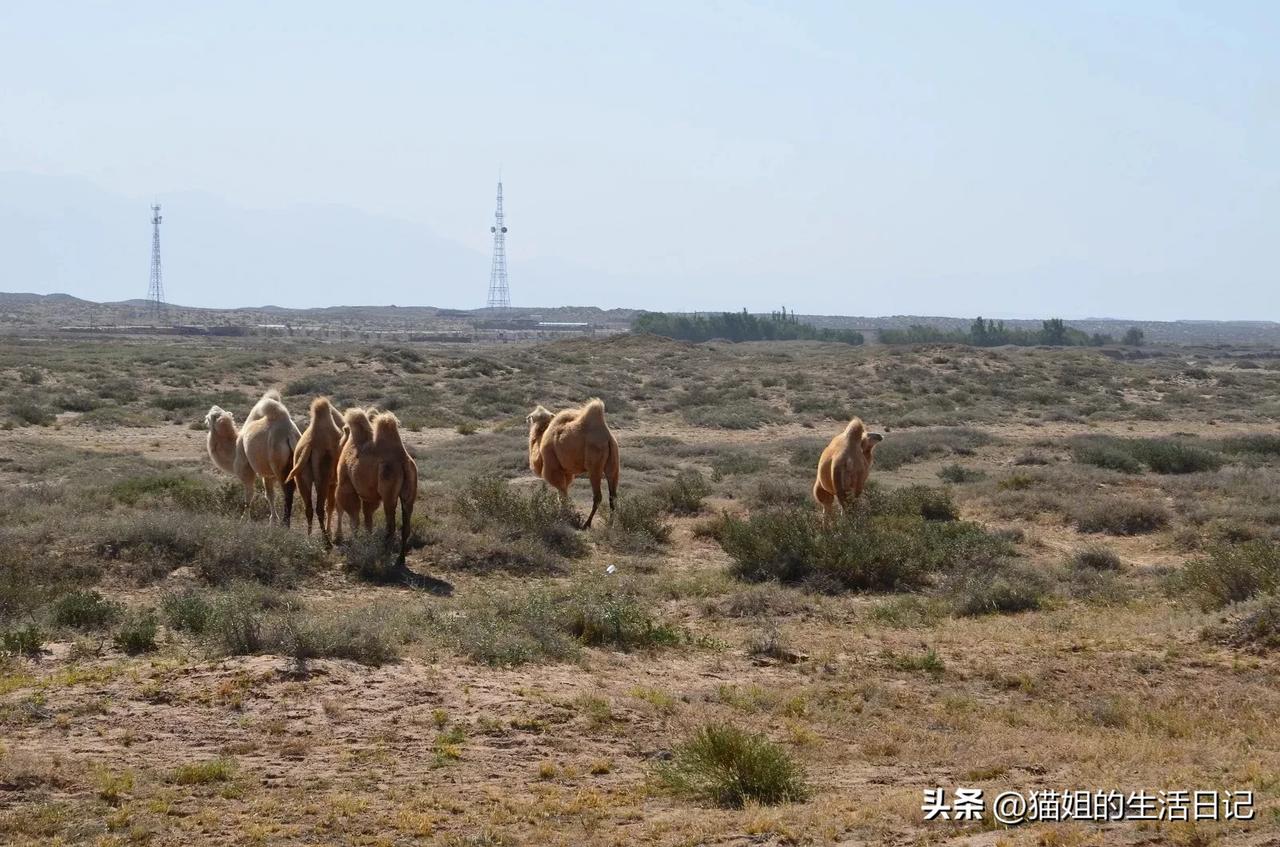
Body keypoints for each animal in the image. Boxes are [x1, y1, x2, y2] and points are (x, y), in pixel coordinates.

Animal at [206, 391, 303, 524]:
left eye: (210, 416)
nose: (213, 406)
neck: (234, 448)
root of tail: (289, 435)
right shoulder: (267, 474)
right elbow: (270, 495)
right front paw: (272, 520)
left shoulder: (246, 468)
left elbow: (249, 495)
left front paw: (244, 519)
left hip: (278, 463)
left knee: (288, 491)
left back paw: (285, 523)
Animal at [288, 399, 348, 545]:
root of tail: (309, 445)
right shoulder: (334, 482)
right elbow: (332, 506)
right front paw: (336, 535)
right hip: (323, 477)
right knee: (320, 508)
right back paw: (327, 542)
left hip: (300, 475)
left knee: (308, 508)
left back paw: (309, 539)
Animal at [335, 409, 419, 568]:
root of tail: (403, 461)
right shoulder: (370, 495)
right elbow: (368, 520)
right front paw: (367, 542)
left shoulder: (346, 485)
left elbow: (353, 517)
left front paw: (352, 543)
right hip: (410, 491)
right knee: (405, 525)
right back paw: (400, 559)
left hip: (388, 492)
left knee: (390, 525)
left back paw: (384, 557)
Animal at [522, 399, 616, 532]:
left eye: (531, 417)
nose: (526, 418)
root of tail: (607, 437)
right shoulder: (566, 471)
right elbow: (564, 492)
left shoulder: (553, 466)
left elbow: (562, 493)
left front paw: (563, 517)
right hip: (614, 463)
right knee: (613, 495)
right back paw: (610, 525)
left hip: (594, 464)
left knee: (598, 496)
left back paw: (586, 524)